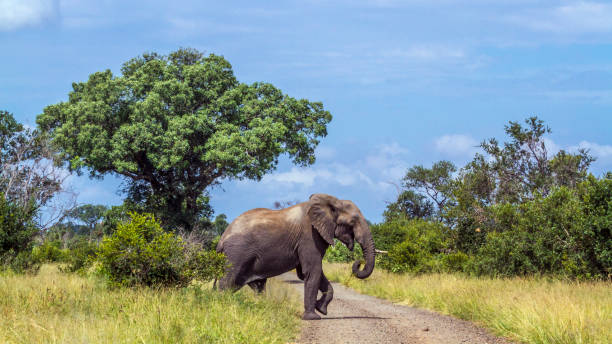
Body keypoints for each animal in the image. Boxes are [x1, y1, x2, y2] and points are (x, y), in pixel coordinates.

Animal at [218, 194, 376, 320]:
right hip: (236, 254)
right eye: (352, 222)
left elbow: (311, 273)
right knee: (227, 281)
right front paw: (313, 318)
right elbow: (313, 271)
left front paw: (321, 309)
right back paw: (220, 303)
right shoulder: (309, 236)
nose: (358, 262)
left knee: (254, 285)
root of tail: (222, 239)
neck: (332, 201)